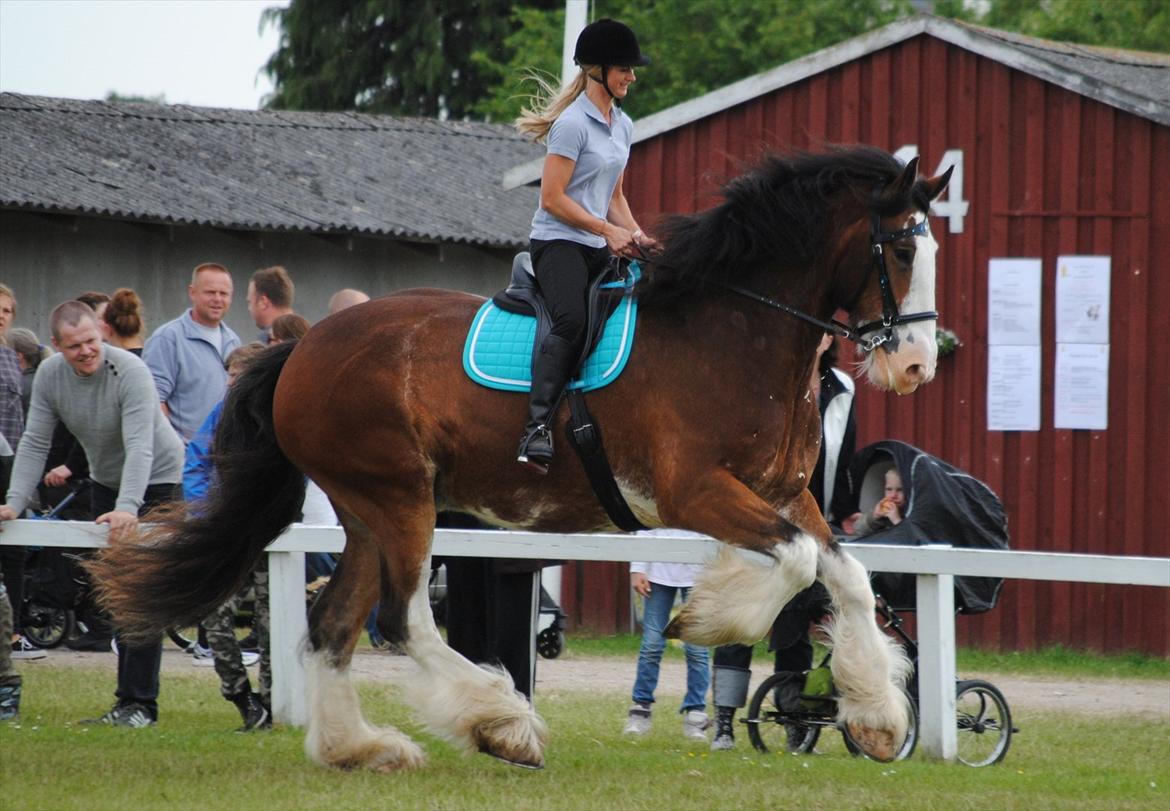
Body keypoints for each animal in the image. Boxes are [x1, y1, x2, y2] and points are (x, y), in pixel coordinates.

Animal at [91, 145, 950, 772]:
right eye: (904, 246)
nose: (916, 366)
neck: (736, 330)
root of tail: (301, 347)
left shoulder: (787, 492)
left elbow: (844, 571)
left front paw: (879, 716)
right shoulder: (693, 492)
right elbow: (797, 561)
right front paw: (711, 612)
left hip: (367, 509)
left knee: (334, 624)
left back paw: (361, 749)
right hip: (400, 499)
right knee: (401, 619)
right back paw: (502, 725)